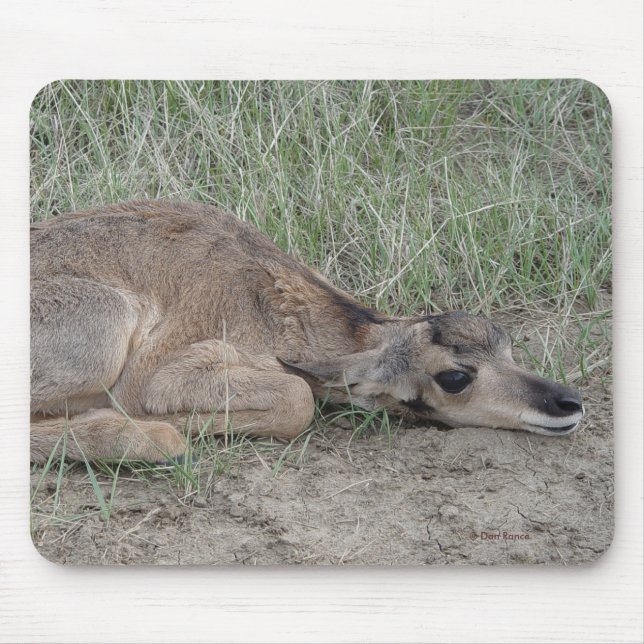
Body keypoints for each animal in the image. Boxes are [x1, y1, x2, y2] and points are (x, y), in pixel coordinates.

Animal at [30, 201, 584, 463]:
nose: (568, 402)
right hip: (104, 328)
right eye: (454, 378)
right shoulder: (163, 375)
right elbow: (298, 398)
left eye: (506, 343)